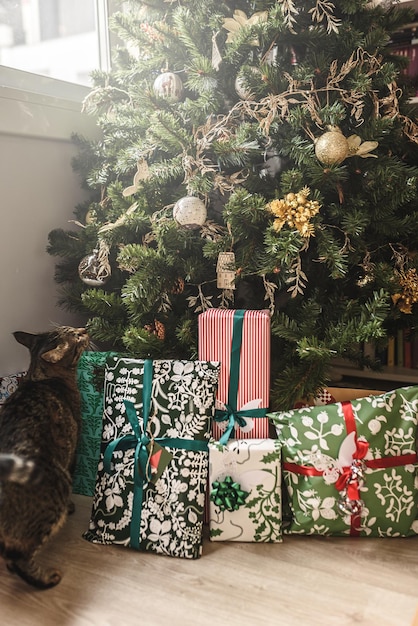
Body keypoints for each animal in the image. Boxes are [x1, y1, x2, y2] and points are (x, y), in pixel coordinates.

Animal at [0, 324, 90, 588]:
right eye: (76, 336)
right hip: (58, 487)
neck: (41, 377)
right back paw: (47, 579)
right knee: (17, 556)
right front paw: (72, 507)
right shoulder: (73, 452)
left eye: (73, 329)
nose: (85, 328)